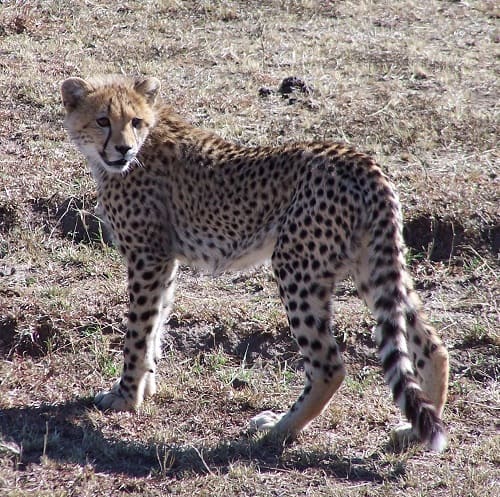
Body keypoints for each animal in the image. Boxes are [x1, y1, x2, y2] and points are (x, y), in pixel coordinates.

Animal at [61, 73, 450, 450]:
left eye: (135, 121)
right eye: (103, 120)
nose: (124, 148)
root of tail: (356, 157)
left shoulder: (148, 257)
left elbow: (138, 333)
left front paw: (126, 396)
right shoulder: (164, 261)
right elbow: (155, 326)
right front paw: (145, 386)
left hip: (296, 265)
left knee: (328, 366)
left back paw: (279, 428)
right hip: (372, 265)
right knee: (431, 345)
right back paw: (414, 430)